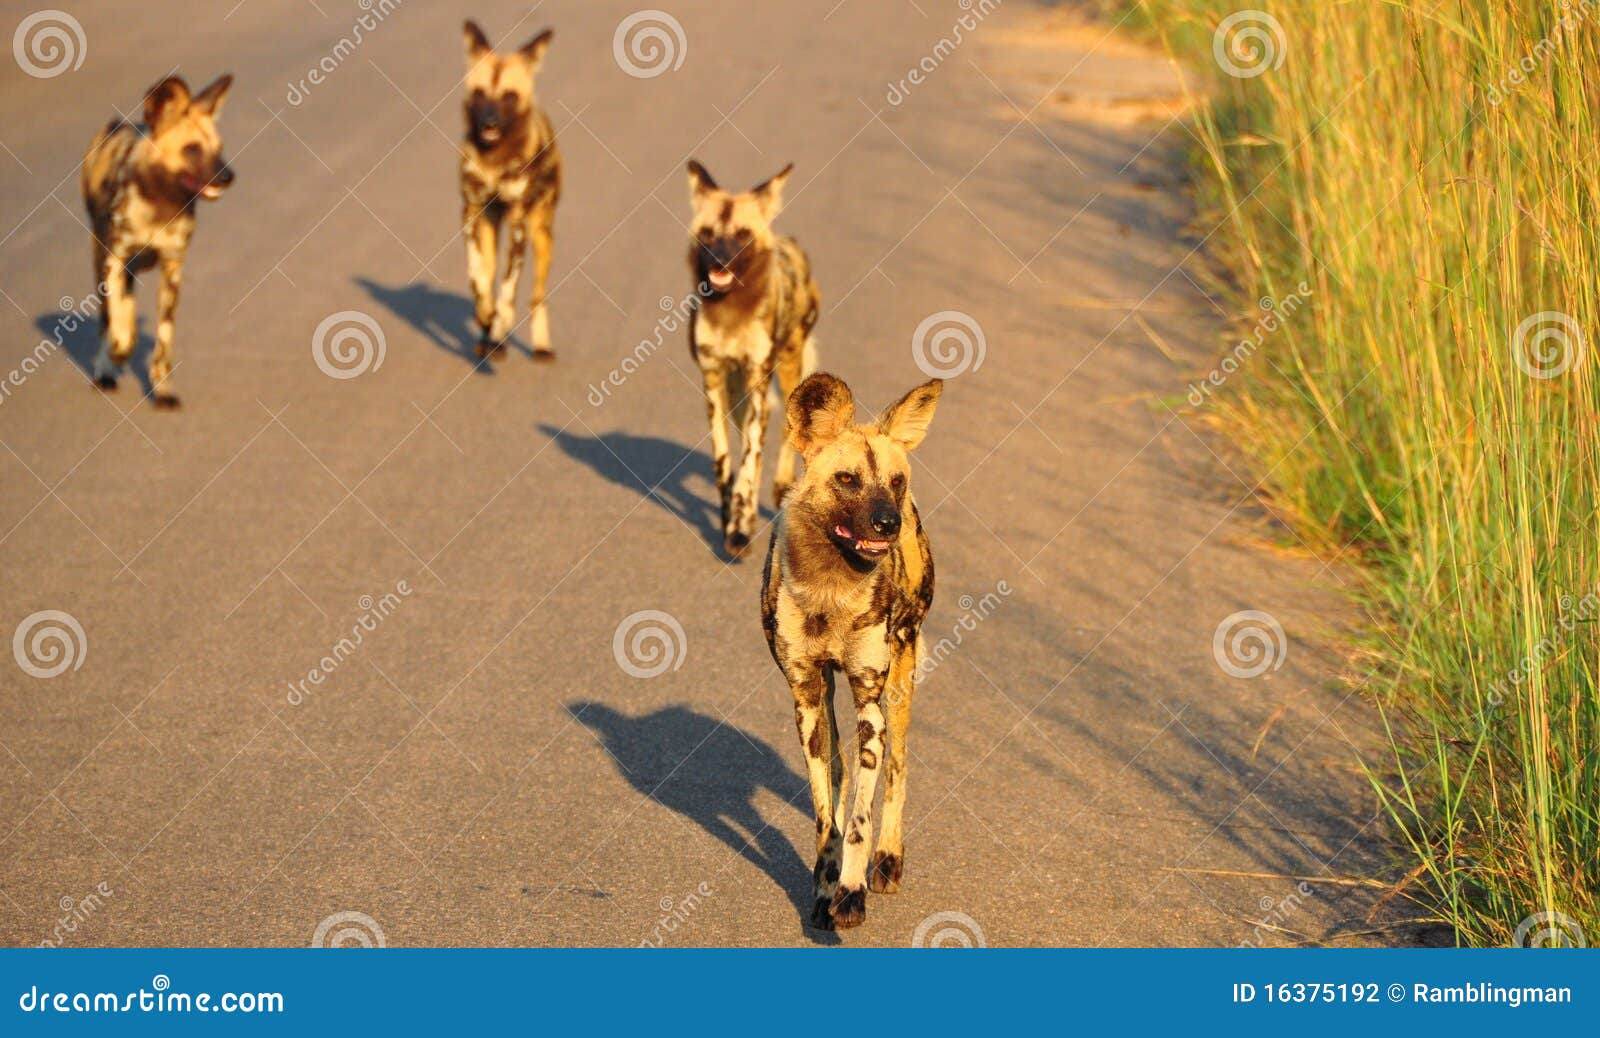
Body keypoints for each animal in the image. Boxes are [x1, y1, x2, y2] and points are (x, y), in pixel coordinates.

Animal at [80, 71, 233, 404]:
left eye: (219, 149)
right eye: (192, 149)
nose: (228, 176)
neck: (159, 203)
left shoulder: (172, 269)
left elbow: (164, 338)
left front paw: (163, 389)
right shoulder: (116, 258)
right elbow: (118, 321)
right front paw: (120, 349)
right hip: (102, 260)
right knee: (107, 318)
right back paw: (106, 368)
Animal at [460, 18, 560, 363]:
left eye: (509, 96)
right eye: (480, 94)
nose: (489, 123)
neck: (495, 159)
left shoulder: (518, 223)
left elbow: (508, 292)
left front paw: (499, 326)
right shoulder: (470, 213)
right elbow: (478, 277)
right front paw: (484, 317)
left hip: (541, 236)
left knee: (535, 296)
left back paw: (539, 346)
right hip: (490, 225)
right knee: (489, 274)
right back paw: (486, 335)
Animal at [681, 159, 819, 559]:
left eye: (742, 235)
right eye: (709, 233)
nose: (720, 260)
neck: (731, 313)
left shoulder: (758, 374)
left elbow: (749, 458)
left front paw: (739, 529)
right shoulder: (713, 379)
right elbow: (724, 464)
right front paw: (731, 518)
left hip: (787, 368)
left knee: (786, 428)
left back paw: (780, 486)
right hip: (736, 390)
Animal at [758, 371, 934, 921]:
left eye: (895, 481)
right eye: (848, 480)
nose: (887, 523)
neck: (829, 591)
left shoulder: (869, 703)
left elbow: (859, 815)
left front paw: (851, 890)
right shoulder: (807, 697)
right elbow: (826, 812)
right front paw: (823, 884)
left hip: (900, 683)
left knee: (898, 766)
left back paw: (888, 859)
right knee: (836, 769)